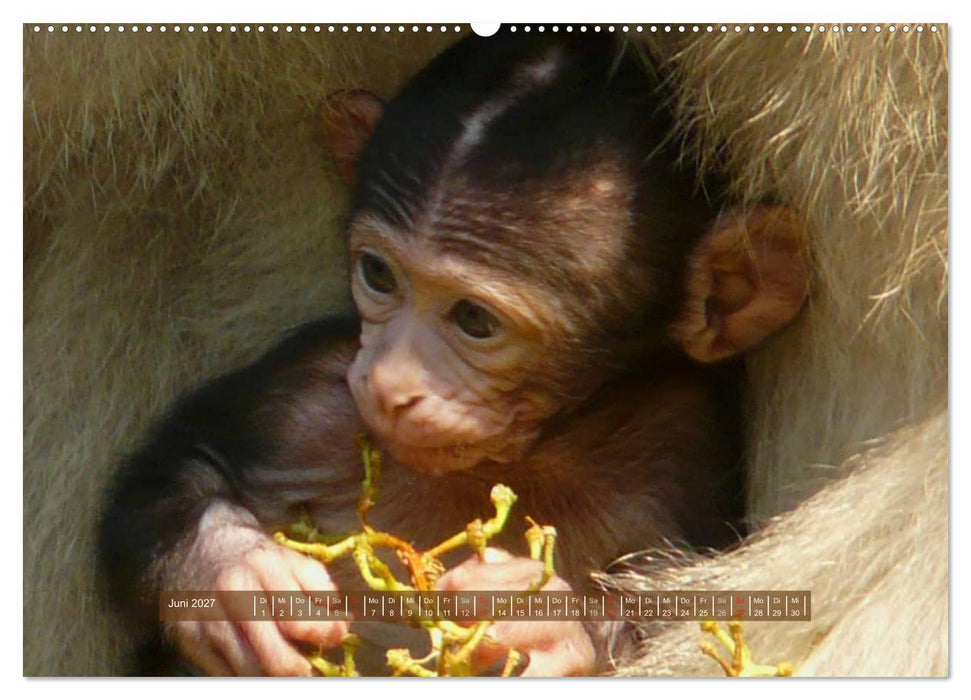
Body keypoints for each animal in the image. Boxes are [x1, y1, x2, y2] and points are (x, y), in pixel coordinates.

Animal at [24, 25, 945, 678]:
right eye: (377, 274)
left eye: (473, 320)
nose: (391, 384)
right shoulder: (314, 393)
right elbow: (177, 469)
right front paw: (232, 581)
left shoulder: (678, 448)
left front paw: (550, 628)